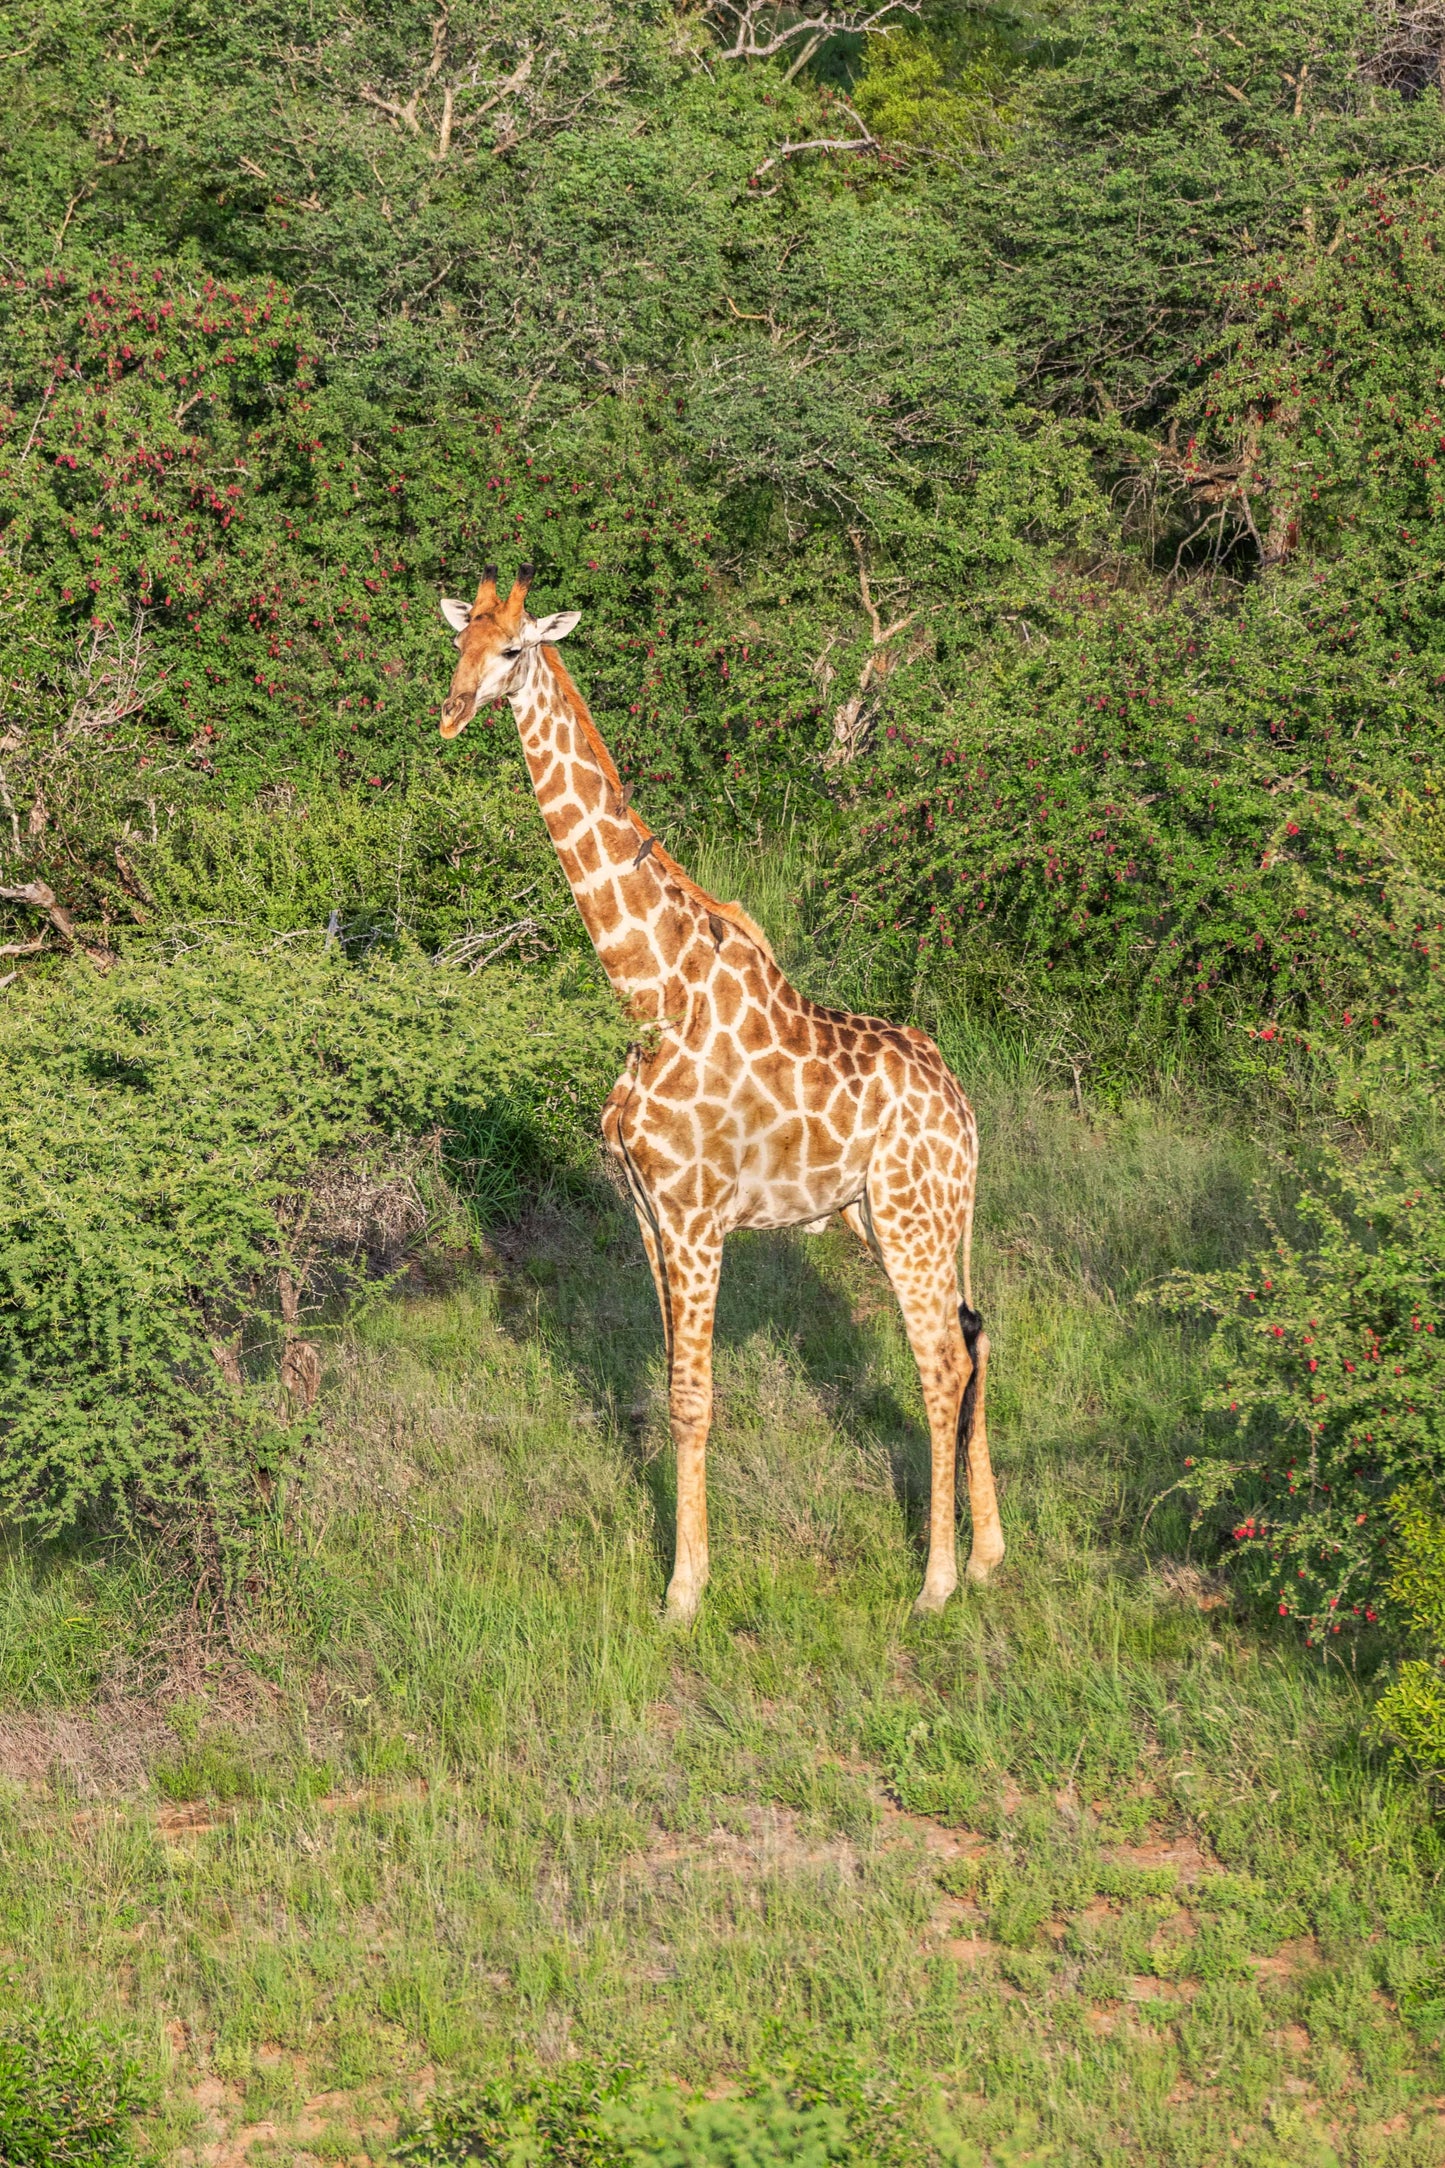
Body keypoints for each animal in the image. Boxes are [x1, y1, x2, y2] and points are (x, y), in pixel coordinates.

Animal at [438, 566, 1004, 1623]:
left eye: (513, 650)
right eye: (457, 644)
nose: (450, 714)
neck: (649, 996)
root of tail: (965, 1111)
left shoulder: (699, 1219)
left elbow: (697, 1401)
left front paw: (681, 1597)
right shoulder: (649, 1217)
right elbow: (670, 1394)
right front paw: (688, 1576)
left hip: (912, 1220)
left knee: (941, 1363)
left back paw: (936, 1584)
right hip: (895, 1218)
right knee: (976, 1336)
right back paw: (989, 1556)